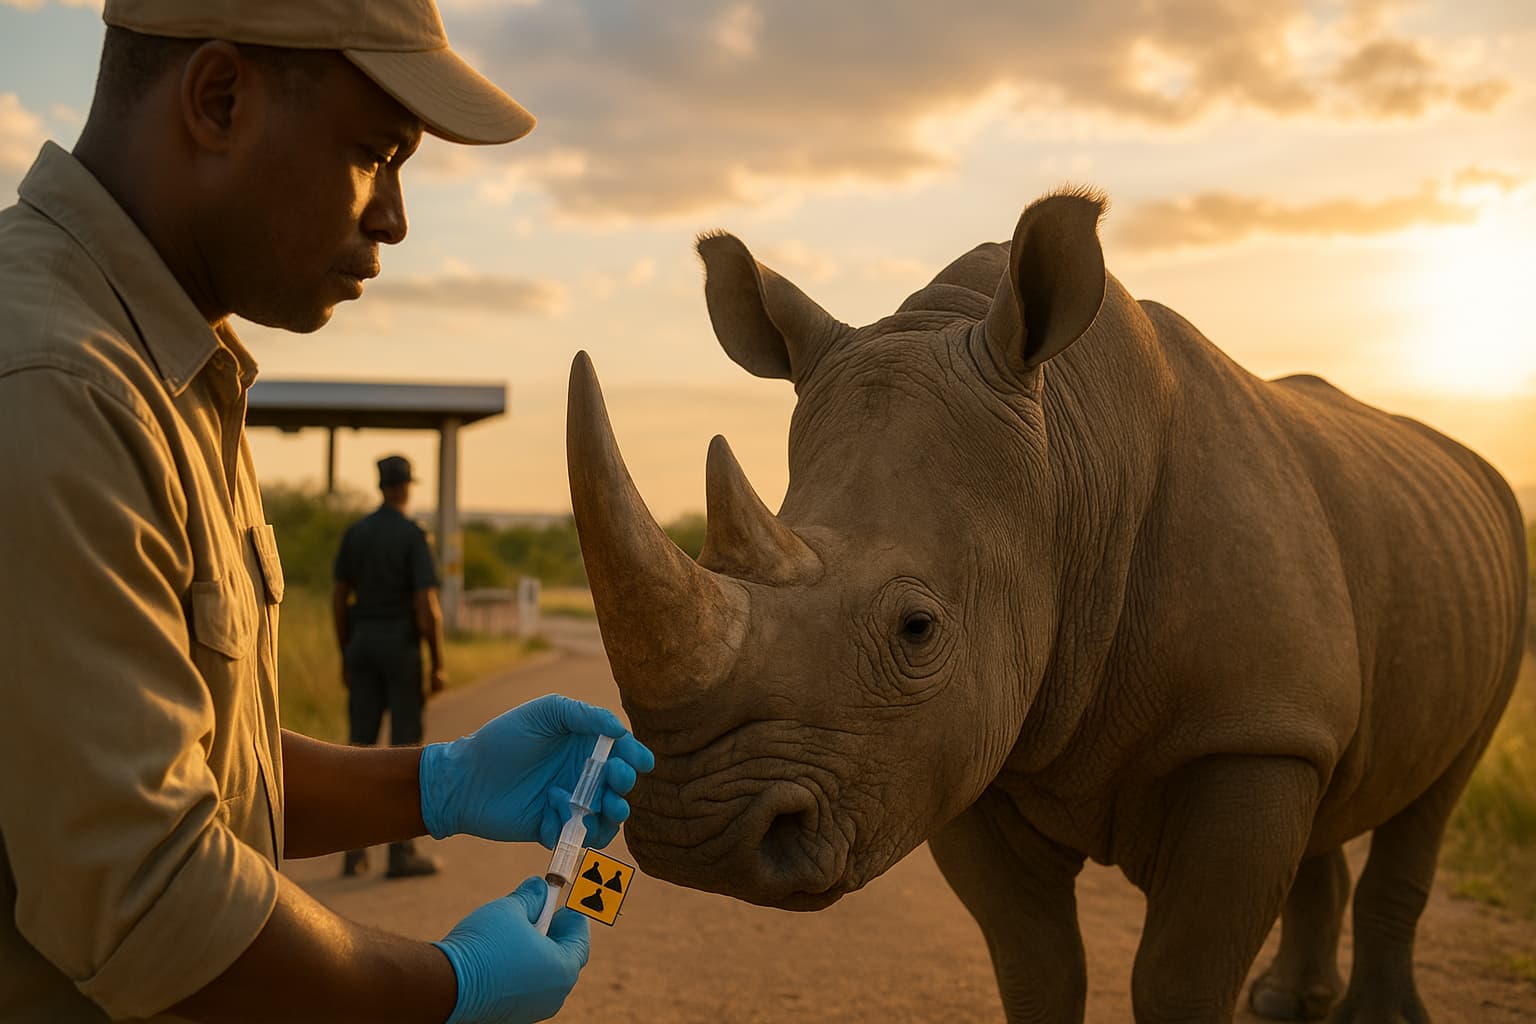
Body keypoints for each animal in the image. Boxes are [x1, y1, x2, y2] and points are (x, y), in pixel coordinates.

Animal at [565, 190, 1527, 1023]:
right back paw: (1289, 1005)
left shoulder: (1244, 732)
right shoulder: (970, 743)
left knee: (1433, 798)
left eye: (918, 629)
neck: (1070, 462)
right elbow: (1036, 964)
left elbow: (1179, 975)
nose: (696, 836)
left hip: (1491, 572)